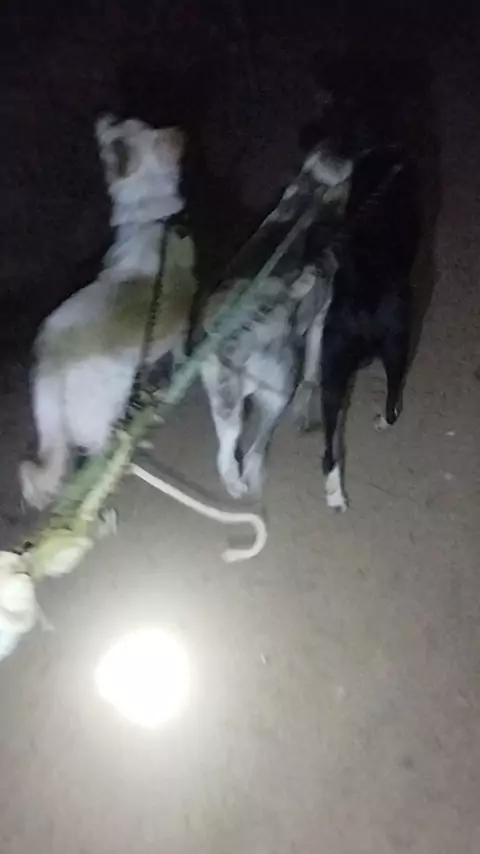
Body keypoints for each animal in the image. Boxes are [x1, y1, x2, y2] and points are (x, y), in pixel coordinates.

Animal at [20, 115, 195, 509]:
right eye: (115, 134)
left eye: (125, 125)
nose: (104, 116)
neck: (150, 219)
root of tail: (53, 356)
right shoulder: (187, 314)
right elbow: (183, 346)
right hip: (97, 417)